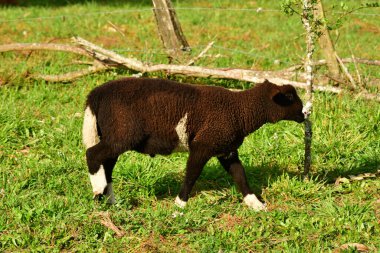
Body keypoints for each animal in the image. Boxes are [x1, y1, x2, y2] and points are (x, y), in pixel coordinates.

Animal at [81, 77, 304, 211]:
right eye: (290, 98)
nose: (304, 115)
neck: (239, 111)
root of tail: (96, 95)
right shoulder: (202, 145)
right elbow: (192, 174)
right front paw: (180, 205)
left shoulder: (226, 150)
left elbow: (240, 175)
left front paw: (256, 204)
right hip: (123, 134)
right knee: (93, 154)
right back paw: (98, 190)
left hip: (112, 135)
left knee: (107, 164)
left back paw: (110, 200)